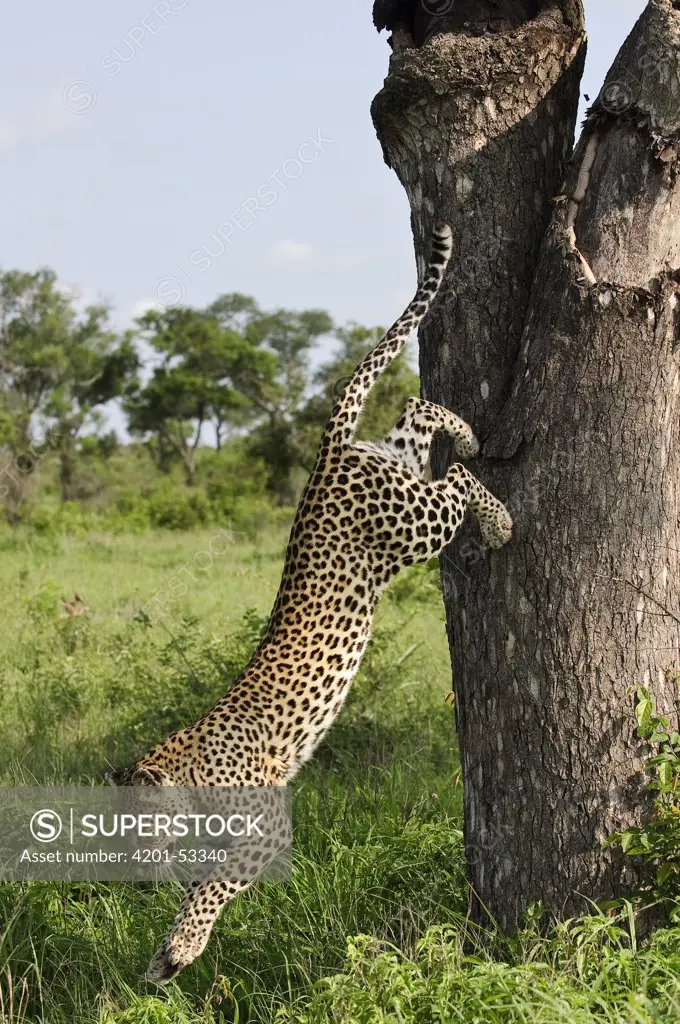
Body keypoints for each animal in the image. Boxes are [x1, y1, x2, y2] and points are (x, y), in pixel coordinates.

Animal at [111, 224, 512, 983]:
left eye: (132, 827)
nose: (131, 873)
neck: (187, 771)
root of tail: (323, 460)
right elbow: (204, 880)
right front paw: (165, 958)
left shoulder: (264, 823)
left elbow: (213, 886)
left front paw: (180, 946)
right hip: (397, 472)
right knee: (415, 415)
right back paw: (465, 431)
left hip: (413, 525)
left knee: (455, 482)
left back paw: (497, 513)